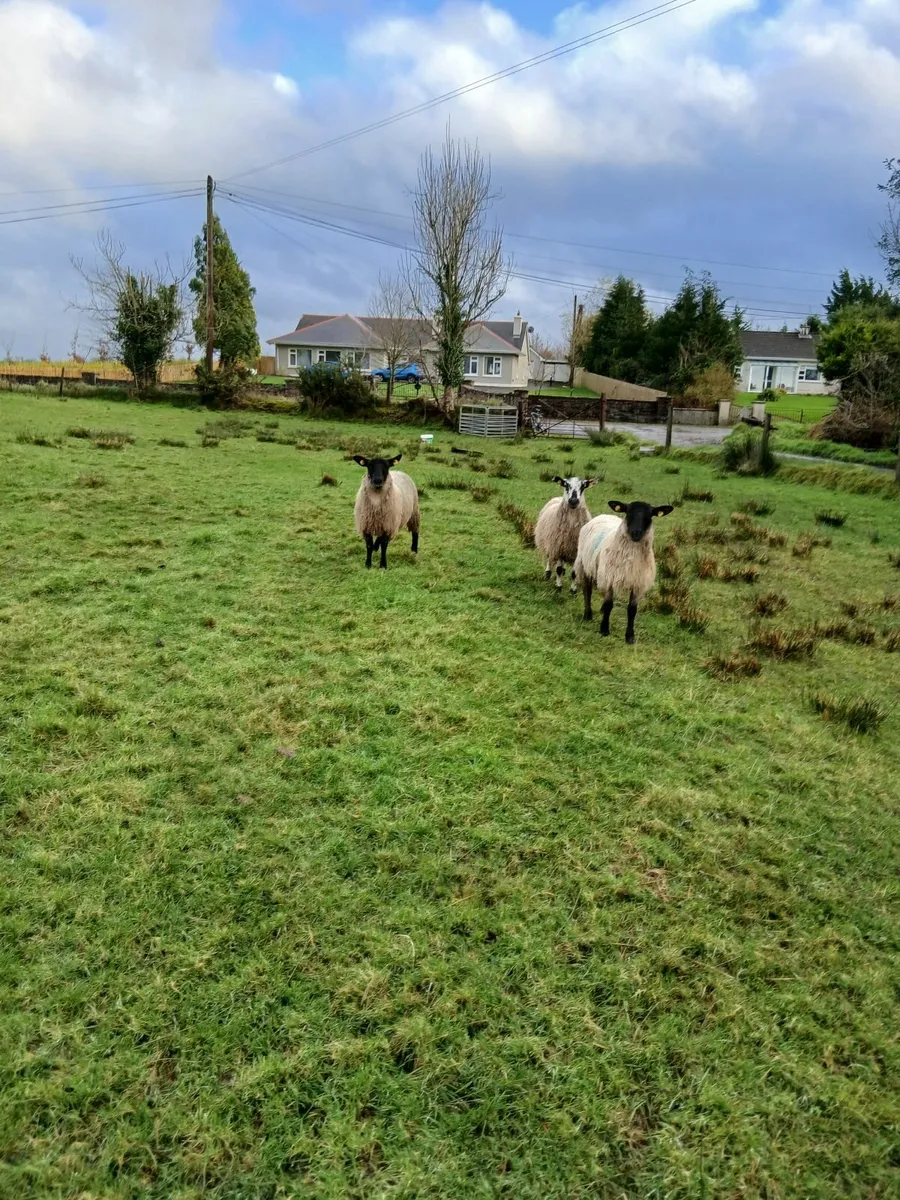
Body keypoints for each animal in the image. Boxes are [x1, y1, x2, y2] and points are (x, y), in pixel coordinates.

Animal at [573, 499, 674, 642]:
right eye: (628, 512)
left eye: (649, 515)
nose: (636, 533)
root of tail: (604, 515)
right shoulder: (610, 579)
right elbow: (609, 604)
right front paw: (604, 629)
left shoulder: (637, 584)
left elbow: (632, 610)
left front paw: (630, 636)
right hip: (584, 565)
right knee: (587, 591)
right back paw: (588, 615)